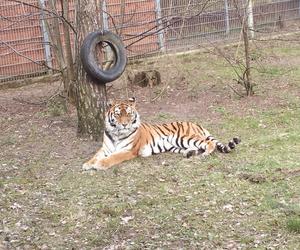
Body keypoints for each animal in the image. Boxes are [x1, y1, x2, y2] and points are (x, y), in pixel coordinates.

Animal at [82, 97, 241, 170]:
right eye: (118, 114)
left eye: (128, 114)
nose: (125, 124)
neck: (116, 133)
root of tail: (196, 123)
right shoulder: (105, 148)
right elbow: (95, 155)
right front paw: (88, 164)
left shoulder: (129, 150)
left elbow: (113, 158)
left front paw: (100, 164)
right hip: (177, 145)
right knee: (198, 146)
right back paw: (189, 153)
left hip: (185, 137)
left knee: (209, 143)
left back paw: (205, 154)